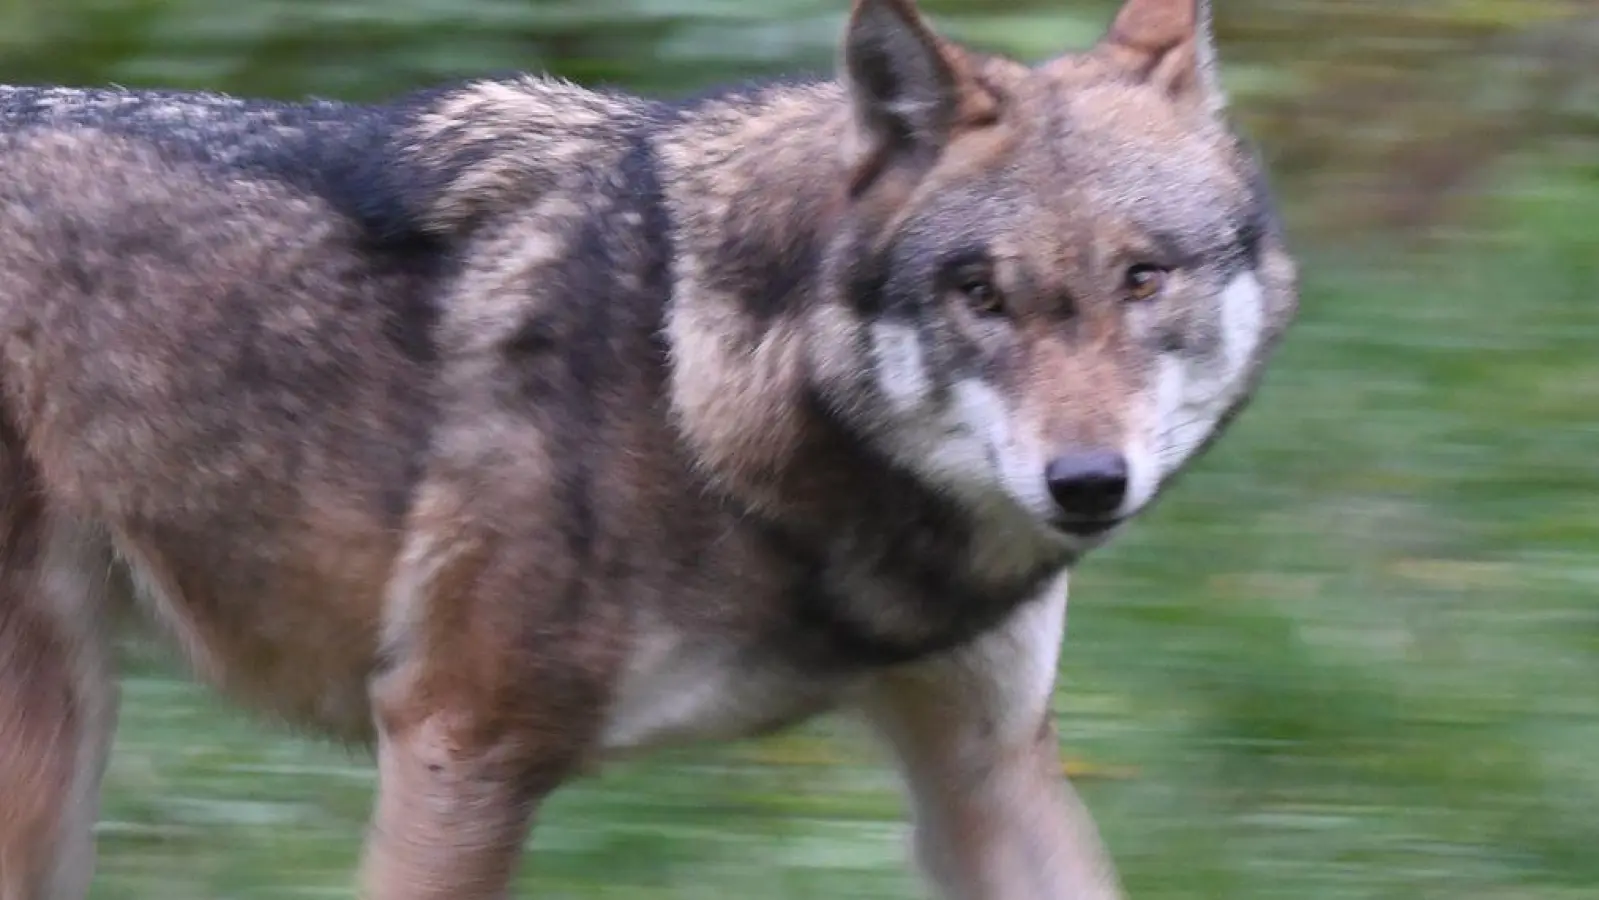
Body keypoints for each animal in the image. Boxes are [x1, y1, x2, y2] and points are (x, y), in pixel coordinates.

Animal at [0, 0, 1297, 897]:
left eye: (1143, 279)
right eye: (980, 294)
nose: (1086, 484)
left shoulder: (989, 767)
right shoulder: (458, 746)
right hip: (51, 751)